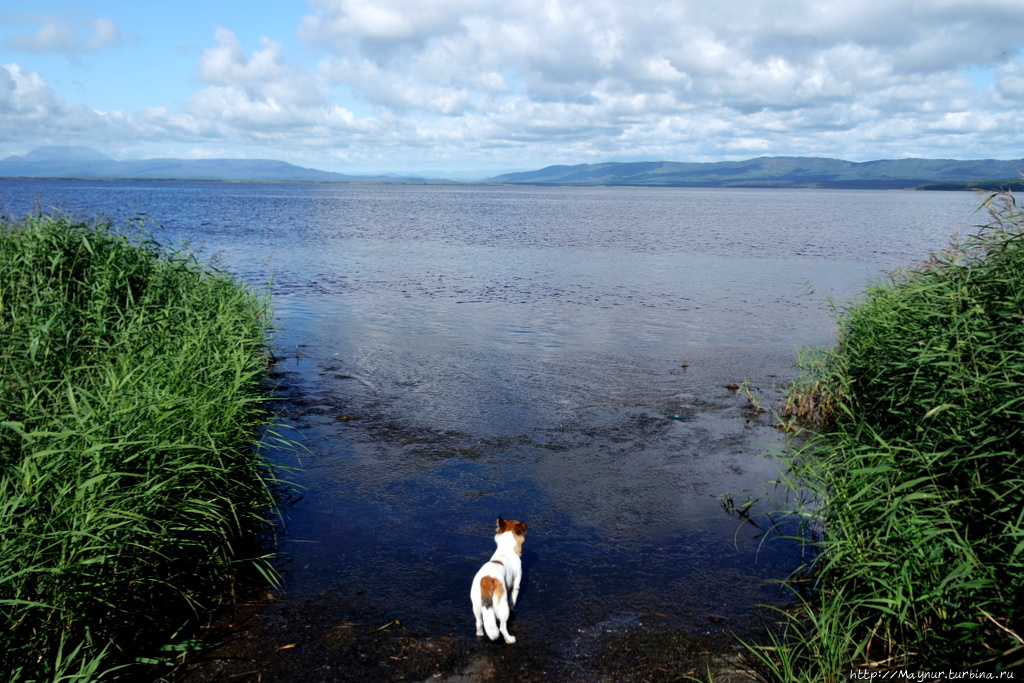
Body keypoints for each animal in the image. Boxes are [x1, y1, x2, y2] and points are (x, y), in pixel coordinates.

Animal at [468, 518, 528, 647]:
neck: (505, 550)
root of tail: (487, 579)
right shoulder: (516, 586)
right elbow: (513, 601)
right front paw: (514, 608)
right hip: (503, 608)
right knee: (502, 627)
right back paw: (510, 639)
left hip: (476, 607)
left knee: (479, 623)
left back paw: (480, 634)